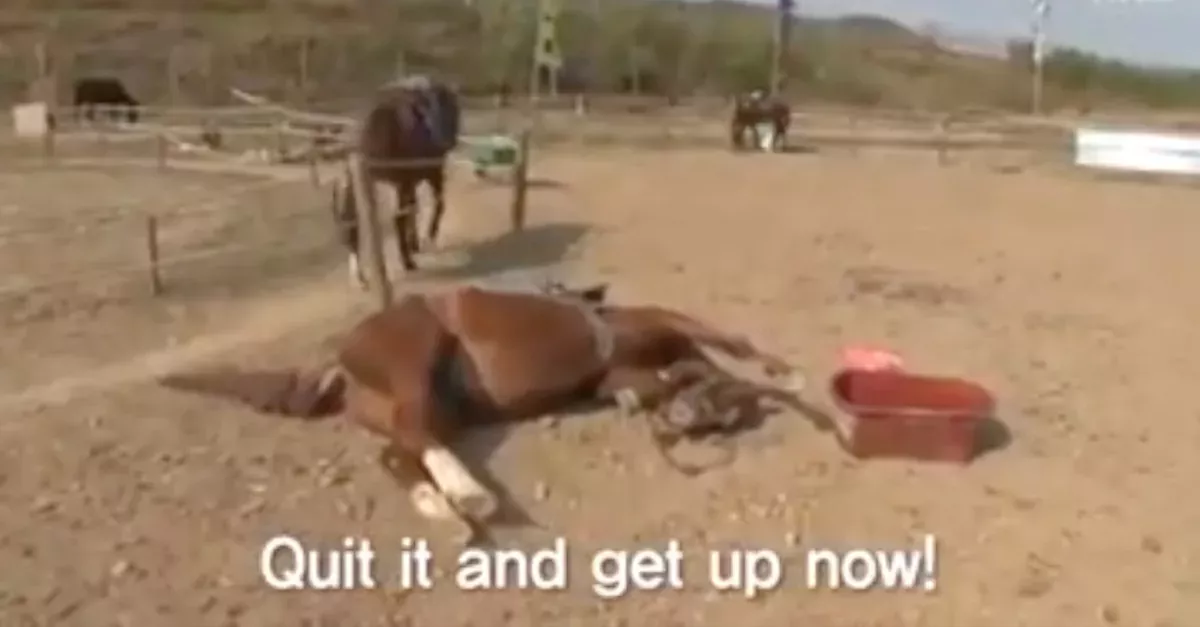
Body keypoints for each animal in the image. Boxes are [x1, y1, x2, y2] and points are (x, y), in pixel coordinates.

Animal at [157, 283, 806, 540]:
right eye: (726, 407)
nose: (685, 421)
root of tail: (341, 356)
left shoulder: (630, 376)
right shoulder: (661, 323)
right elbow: (730, 340)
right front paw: (787, 372)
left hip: (419, 403)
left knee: (399, 451)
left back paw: (444, 510)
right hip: (417, 356)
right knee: (414, 438)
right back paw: (470, 497)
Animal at [340, 75, 461, 283]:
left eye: (453, 109)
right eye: (428, 113)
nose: (448, 141)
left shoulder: (410, 182)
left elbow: (414, 208)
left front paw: (416, 242)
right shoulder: (432, 173)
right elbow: (437, 204)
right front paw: (427, 237)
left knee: (355, 223)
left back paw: (361, 276)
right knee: (396, 219)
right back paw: (407, 262)